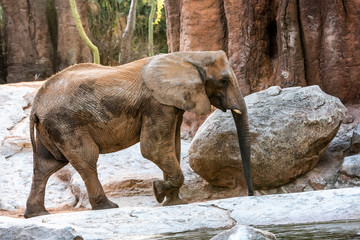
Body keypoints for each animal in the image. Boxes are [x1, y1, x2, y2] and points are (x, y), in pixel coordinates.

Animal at [23, 50, 253, 218]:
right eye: (224, 81)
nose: (250, 195)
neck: (188, 57)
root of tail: (36, 105)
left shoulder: (172, 103)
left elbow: (173, 147)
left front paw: (174, 202)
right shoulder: (157, 103)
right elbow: (154, 149)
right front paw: (158, 191)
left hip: (52, 128)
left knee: (46, 166)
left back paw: (36, 214)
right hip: (66, 124)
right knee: (86, 160)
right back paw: (108, 207)